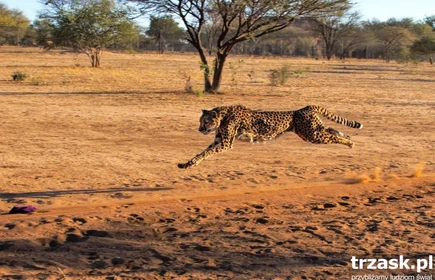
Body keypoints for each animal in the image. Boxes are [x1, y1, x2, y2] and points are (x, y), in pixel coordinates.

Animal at [178, 105, 364, 168]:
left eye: (205, 121)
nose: (200, 129)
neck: (223, 115)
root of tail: (306, 107)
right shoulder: (218, 140)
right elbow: (203, 152)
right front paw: (188, 164)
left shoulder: (225, 143)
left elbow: (208, 152)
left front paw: (192, 163)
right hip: (313, 132)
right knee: (332, 129)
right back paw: (347, 136)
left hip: (312, 135)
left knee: (333, 136)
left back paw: (349, 143)